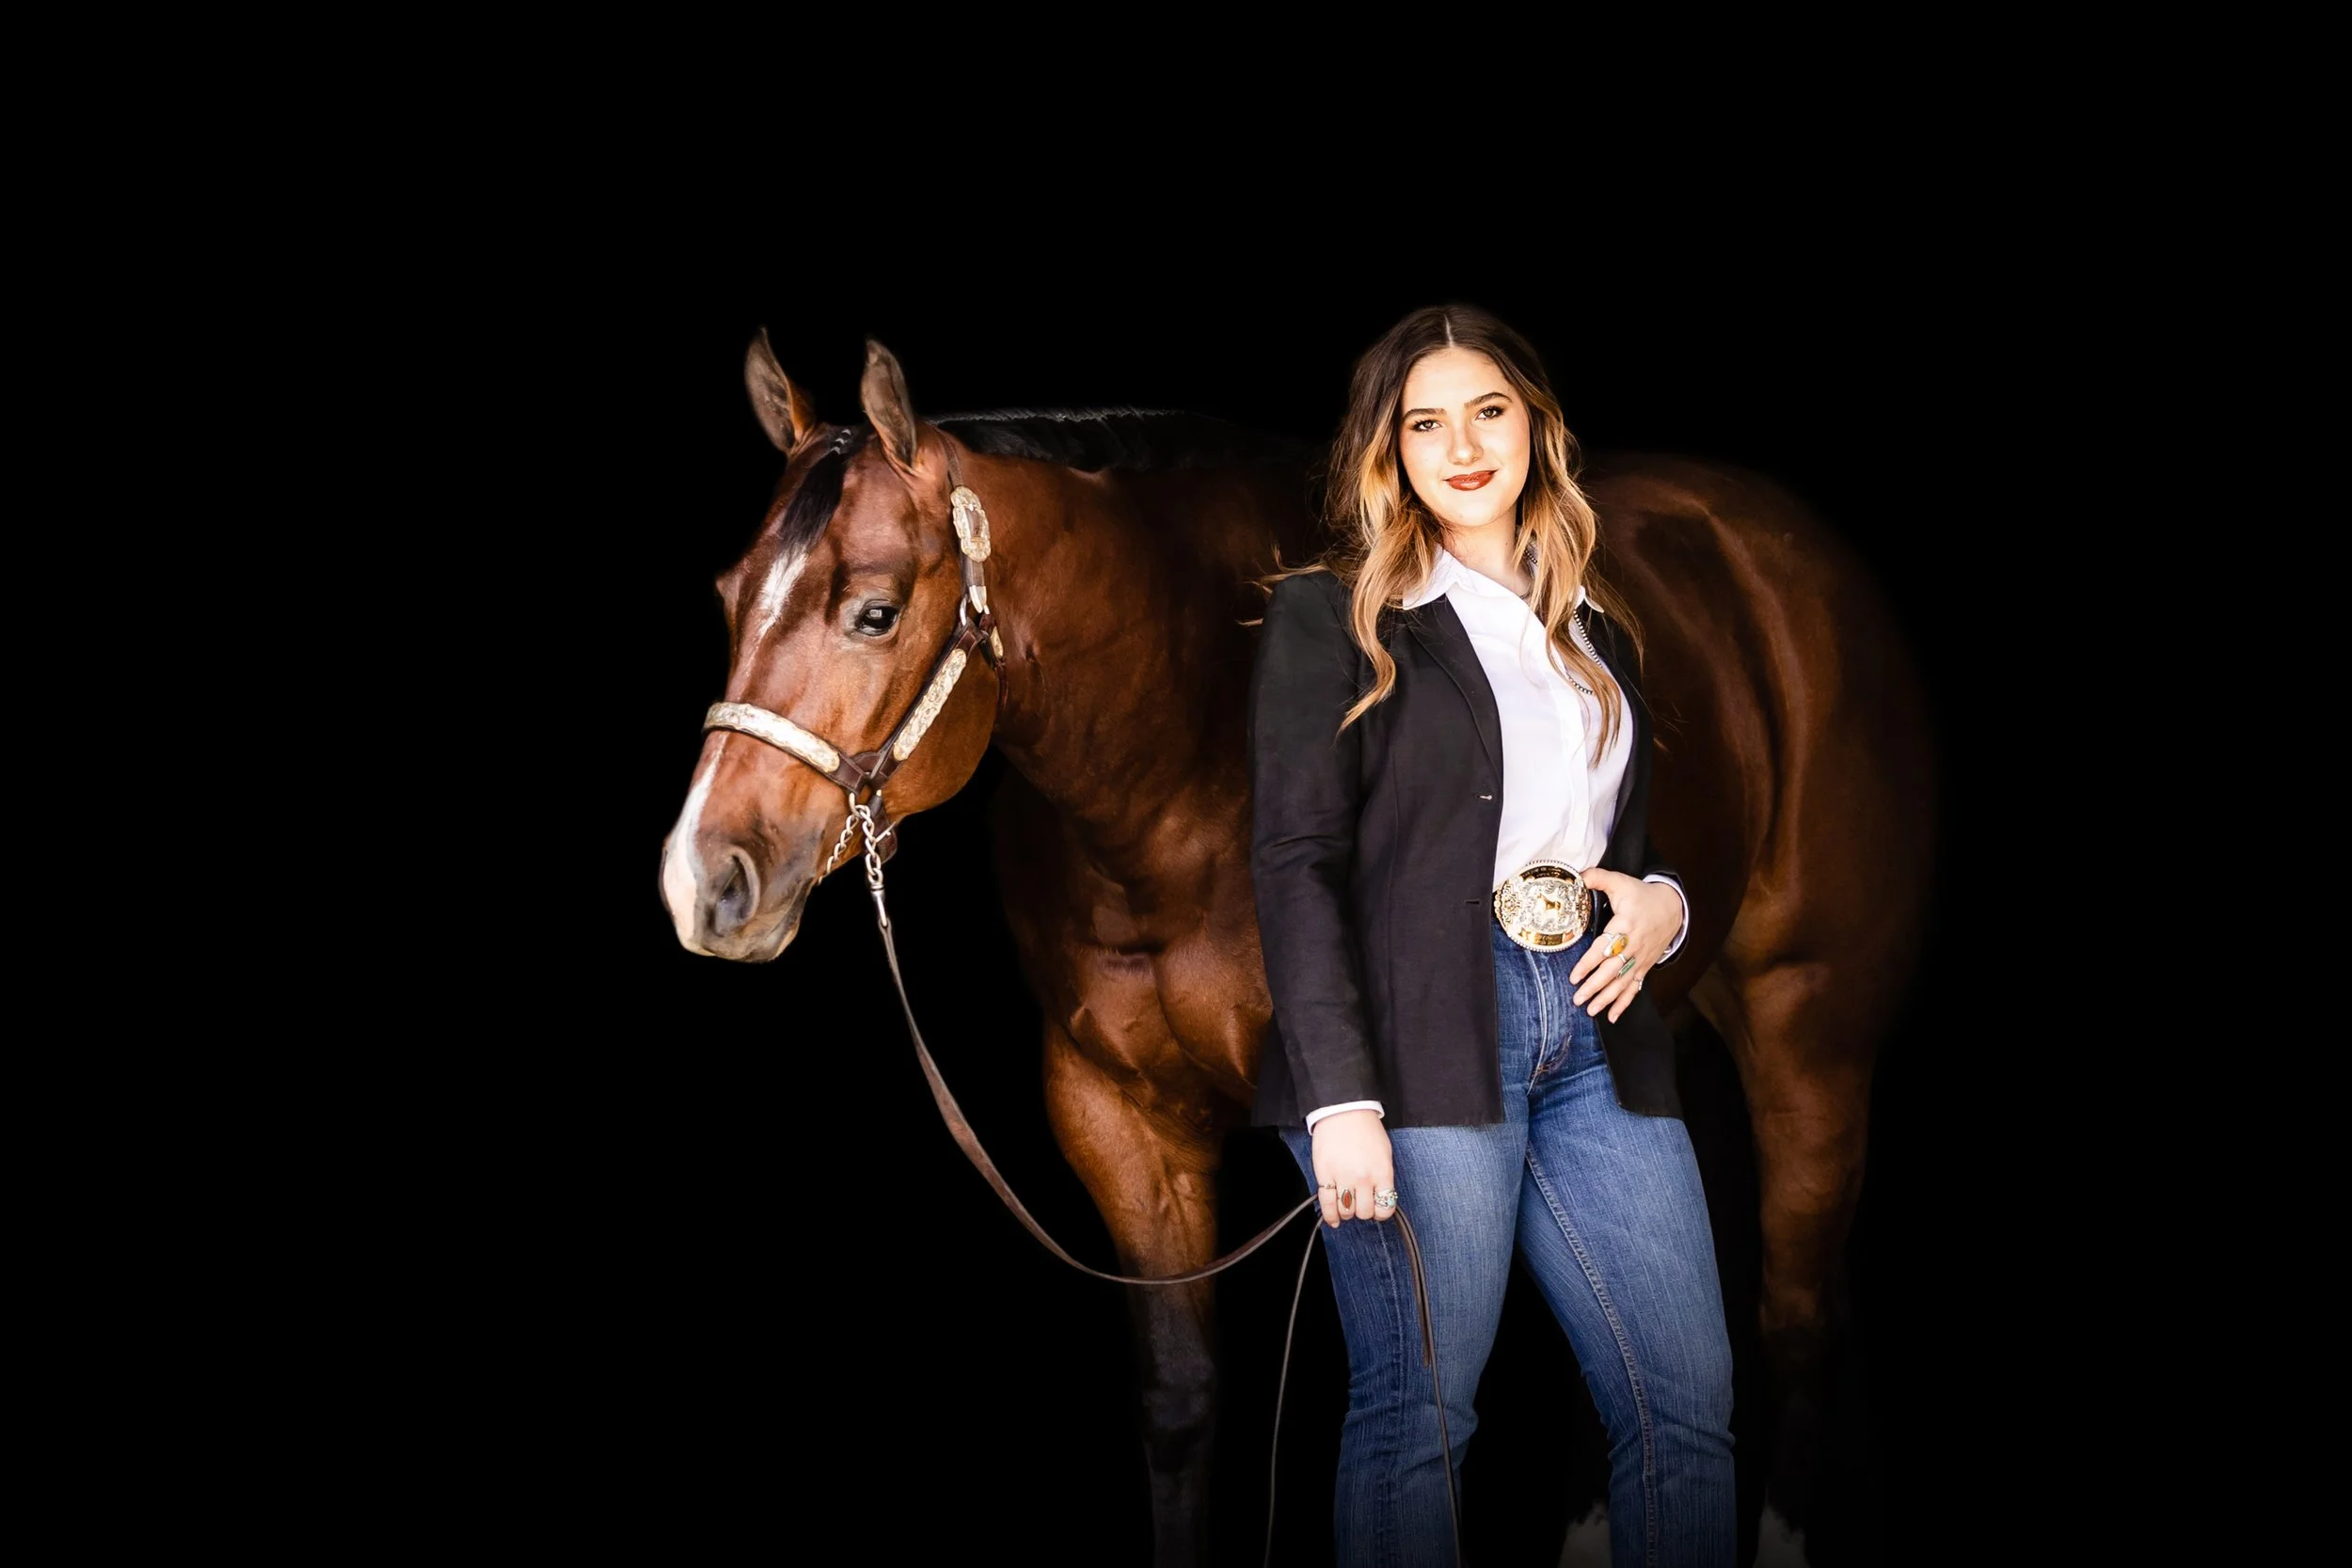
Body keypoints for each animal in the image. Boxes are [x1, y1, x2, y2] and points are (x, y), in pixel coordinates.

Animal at [656, 332, 1935, 1565]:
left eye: (872, 611)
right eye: (726, 596)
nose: (701, 881)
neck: (1177, 762)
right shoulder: (1115, 1114)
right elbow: (1181, 1400)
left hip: (1807, 1040)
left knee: (1793, 1316)